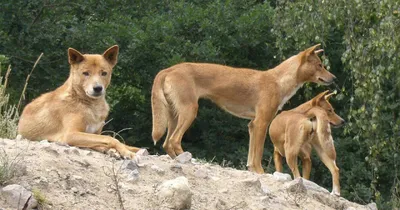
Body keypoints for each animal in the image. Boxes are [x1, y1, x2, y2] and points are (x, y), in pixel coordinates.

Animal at [152, 43, 336, 173]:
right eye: (320, 65)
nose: (333, 78)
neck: (278, 82)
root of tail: (169, 69)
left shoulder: (252, 125)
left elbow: (251, 158)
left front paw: (253, 171)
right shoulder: (262, 123)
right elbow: (258, 154)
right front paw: (261, 172)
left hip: (174, 116)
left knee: (167, 143)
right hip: (189, 111)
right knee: (174, 140)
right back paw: (188, 160)